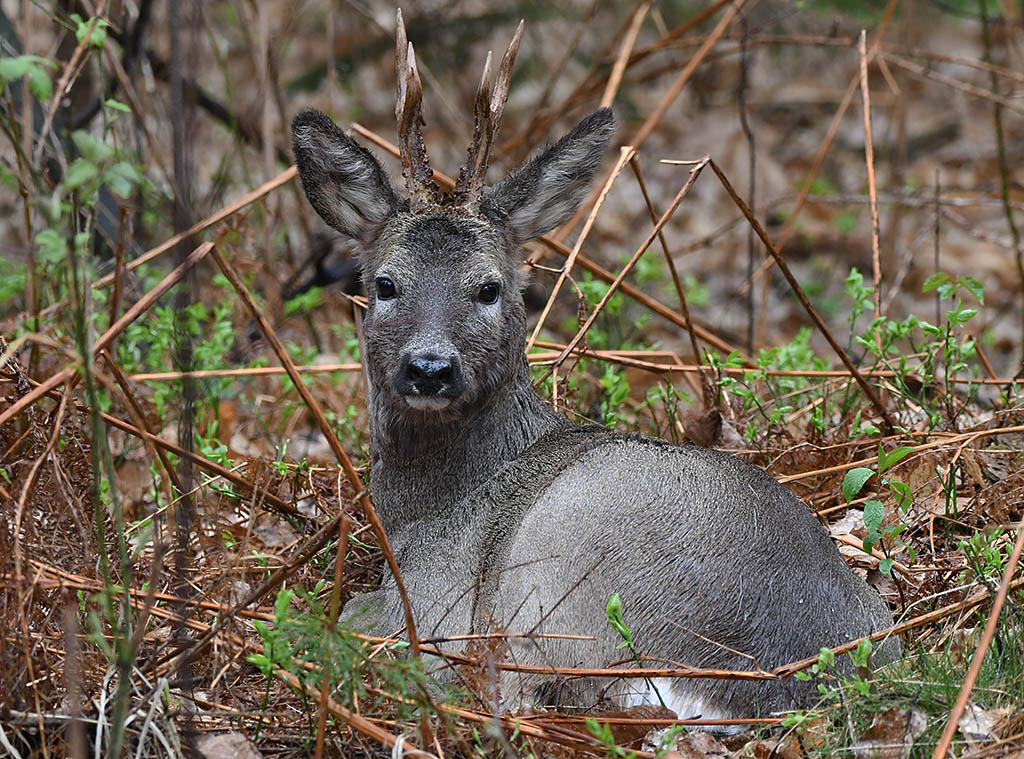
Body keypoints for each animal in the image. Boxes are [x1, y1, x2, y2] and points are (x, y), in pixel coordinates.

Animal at [292, 11, 901, 721]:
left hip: (561, 575)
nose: (430, 368)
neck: (425, 512)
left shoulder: (437, 596)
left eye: (490, 287)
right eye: (385, 284)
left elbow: (352, 618)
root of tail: (780, 676)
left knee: (518, 683)